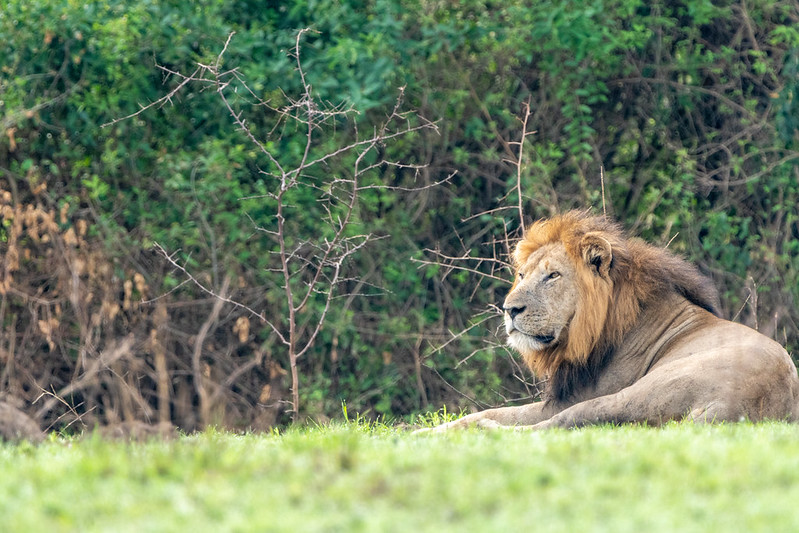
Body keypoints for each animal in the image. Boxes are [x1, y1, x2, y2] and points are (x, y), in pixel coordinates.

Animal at [428, 210, 796, 430]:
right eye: (521, 275)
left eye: (552, 276)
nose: (509, 309)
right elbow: (481, 409)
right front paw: (424, 430)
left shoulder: (566, 399)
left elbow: (494, 413)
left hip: (638, 392)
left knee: (554, 426)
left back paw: (487, 433)